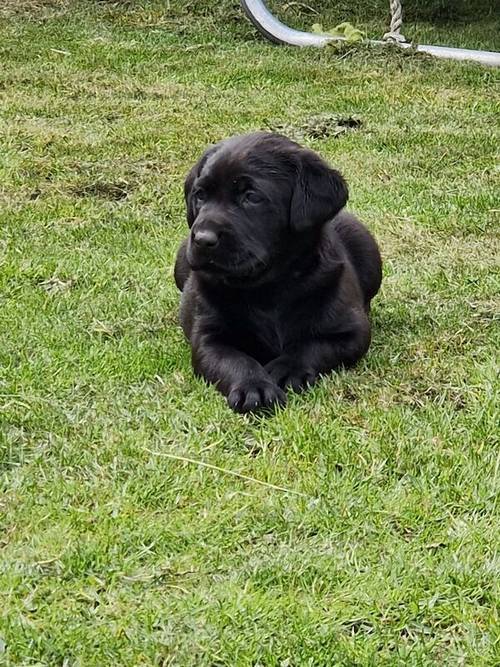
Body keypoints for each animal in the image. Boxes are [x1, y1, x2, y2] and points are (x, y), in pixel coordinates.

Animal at [174, 132, 380, 412]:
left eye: (251, 196)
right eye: (200, 195)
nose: (203, 239)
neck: (269, 287)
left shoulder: (352, 331)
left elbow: (311, 346)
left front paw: (287, 369)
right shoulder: (208, 338)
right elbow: (235, 359)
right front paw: (255, 387)